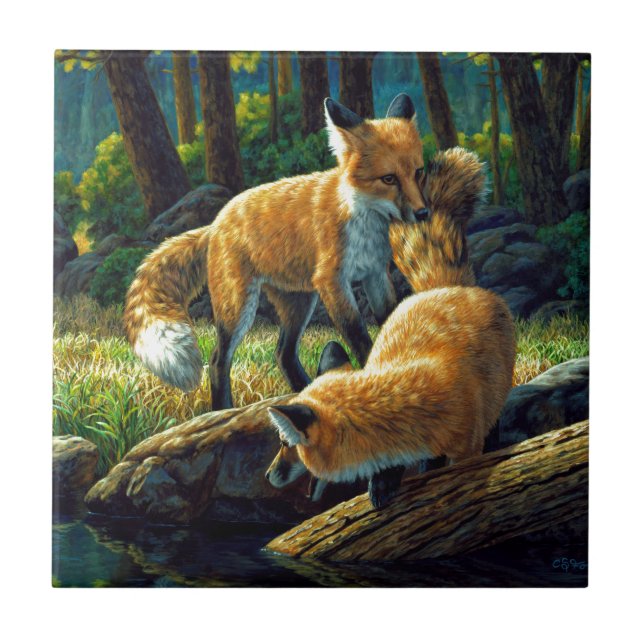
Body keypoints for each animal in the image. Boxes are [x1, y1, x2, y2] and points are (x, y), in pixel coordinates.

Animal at [124, 94, 428, 410]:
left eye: (419, 172)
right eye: (389, 179)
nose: (423, 213)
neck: (363, 220)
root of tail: (215, 223)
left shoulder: (375, 274)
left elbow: (390, 318)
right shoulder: (333, 281)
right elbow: (359, 337)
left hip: (299, 302)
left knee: (283, 353)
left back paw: (302, 394)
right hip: (240, 307)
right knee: (219, 360)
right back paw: (224, 408)